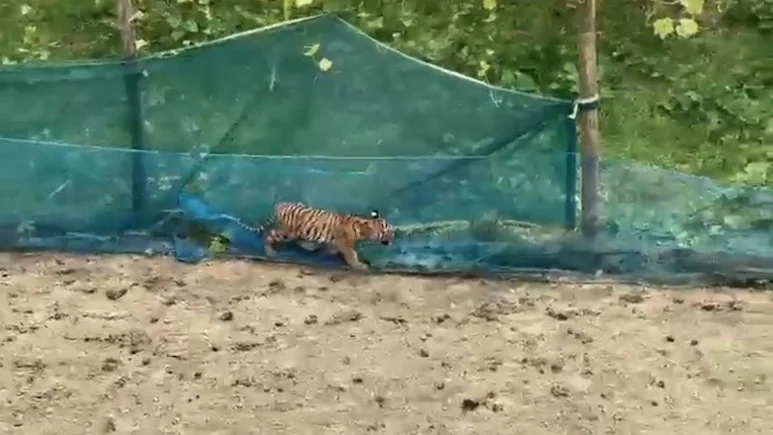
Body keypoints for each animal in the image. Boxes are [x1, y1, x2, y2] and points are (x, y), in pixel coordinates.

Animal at [258, 202, 395, 270]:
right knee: (270, 235)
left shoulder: (337, 244)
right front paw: (359, 266)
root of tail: (280, 205)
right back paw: (270, 252)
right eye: (386, 231)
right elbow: (352, 255)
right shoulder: (345, 245)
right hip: (288, 232)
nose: (394, 236)